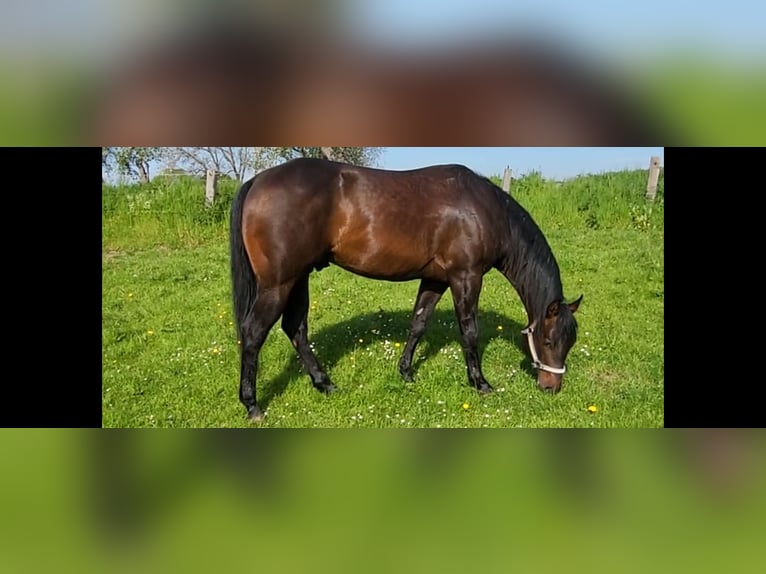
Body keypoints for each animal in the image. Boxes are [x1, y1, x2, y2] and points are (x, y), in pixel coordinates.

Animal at [230, 158, 582, 422]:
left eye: (570, 343)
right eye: (548, 341)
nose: (552, 387)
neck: (485, 210)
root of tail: (257, 181)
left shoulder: (436, 279)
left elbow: (419, 323)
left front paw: (406, 372)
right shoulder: (466, 277)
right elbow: (469, 331)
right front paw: (480, 383)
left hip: (299, 278)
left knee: (296, 329)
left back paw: (324, 384)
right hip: (279, 284)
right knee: (253, 333)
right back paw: (252, 405)